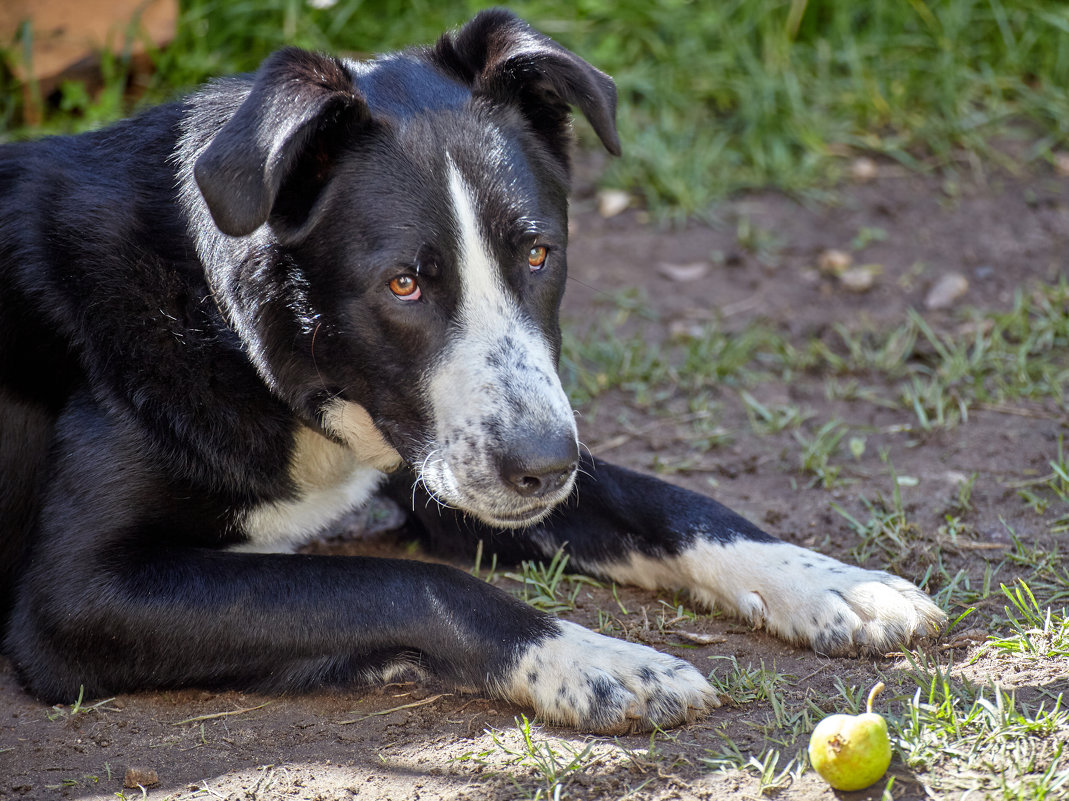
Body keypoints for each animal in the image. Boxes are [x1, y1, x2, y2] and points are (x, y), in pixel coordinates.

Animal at [0, 9, 944, 735]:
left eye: (536, 252)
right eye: (403, 283)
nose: (544, 467)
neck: (235, 330)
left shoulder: (434, 457)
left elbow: (671, 501)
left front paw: (838, 583)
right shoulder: (82, 595)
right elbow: (413, 583)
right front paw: (598, 662)